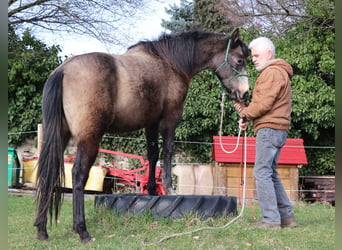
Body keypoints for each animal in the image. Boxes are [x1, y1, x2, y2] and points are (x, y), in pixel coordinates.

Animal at [34, 28, 248, 241]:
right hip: (89, 140)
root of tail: (63, 71)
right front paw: (169, 188)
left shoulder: (150, 123)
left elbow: (152, 154)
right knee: (78, 175)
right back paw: (82, 230)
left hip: (59, 137)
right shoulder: (170, 118)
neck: (170, 62)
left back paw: (42, 229)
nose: (245, 94)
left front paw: (152, 190)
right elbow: (168, 150)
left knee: (48, 173)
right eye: (239, 60)